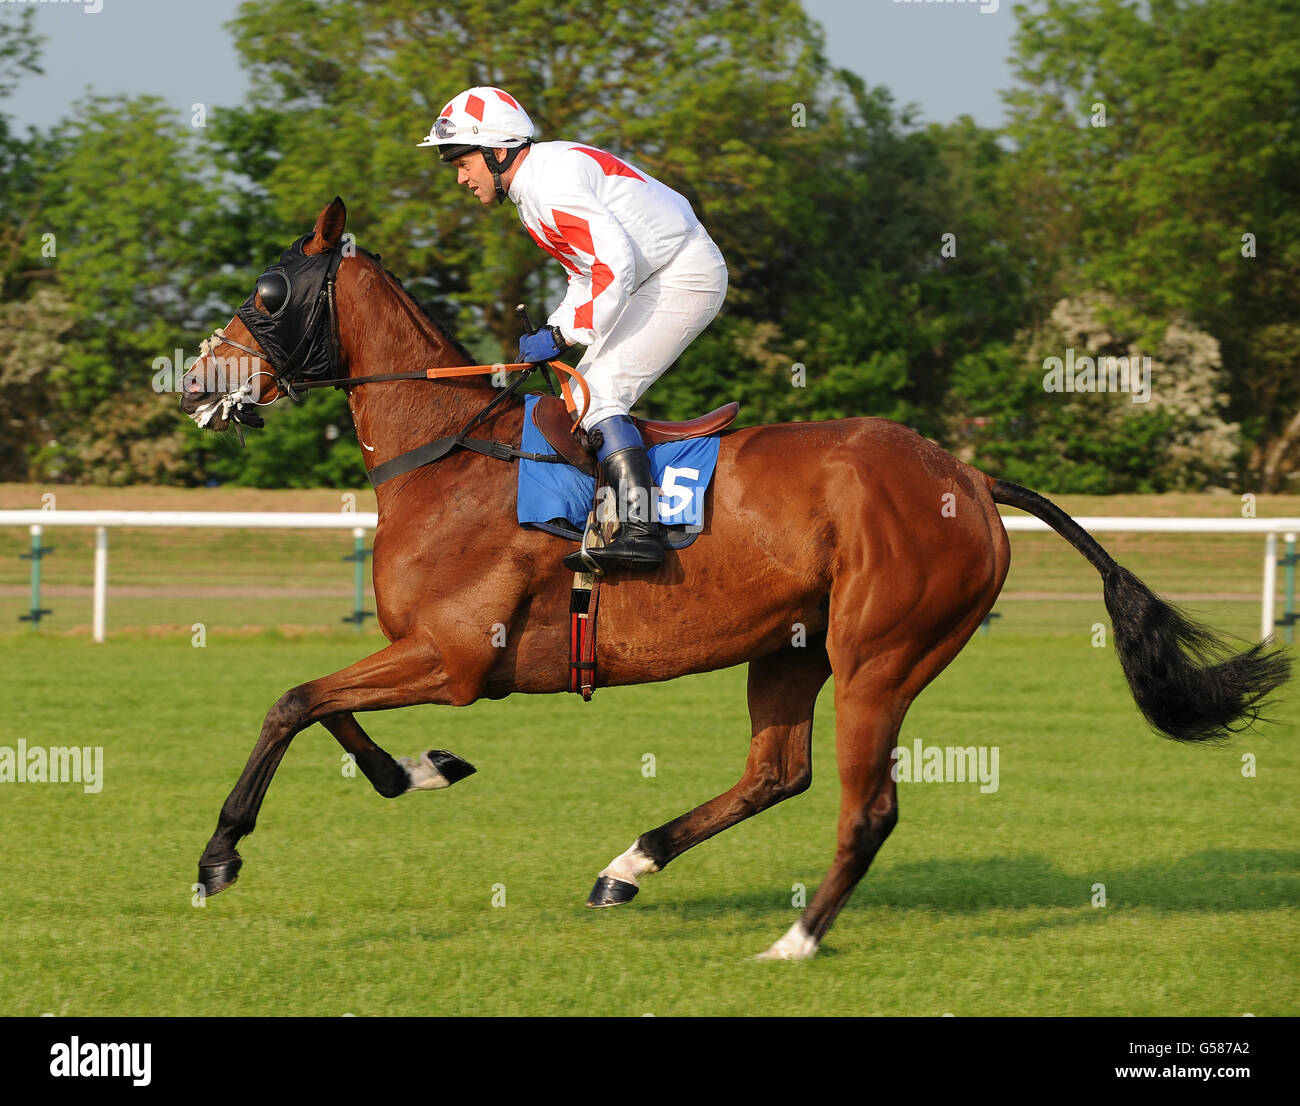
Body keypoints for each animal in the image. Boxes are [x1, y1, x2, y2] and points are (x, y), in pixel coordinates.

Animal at [180, 198, 1289, 961]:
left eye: (267, 292)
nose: (195, 378)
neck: (450, 454)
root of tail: (966, 475)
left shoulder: (452, 659)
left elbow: (293, 701)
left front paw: (220, 853)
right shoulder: (427, 654)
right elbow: (326, 710)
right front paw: (421, 769)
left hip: (880, 653)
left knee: (864, 807)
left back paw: (795, 938)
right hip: (791, 647)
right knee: (776, 772)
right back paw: (627, 866)